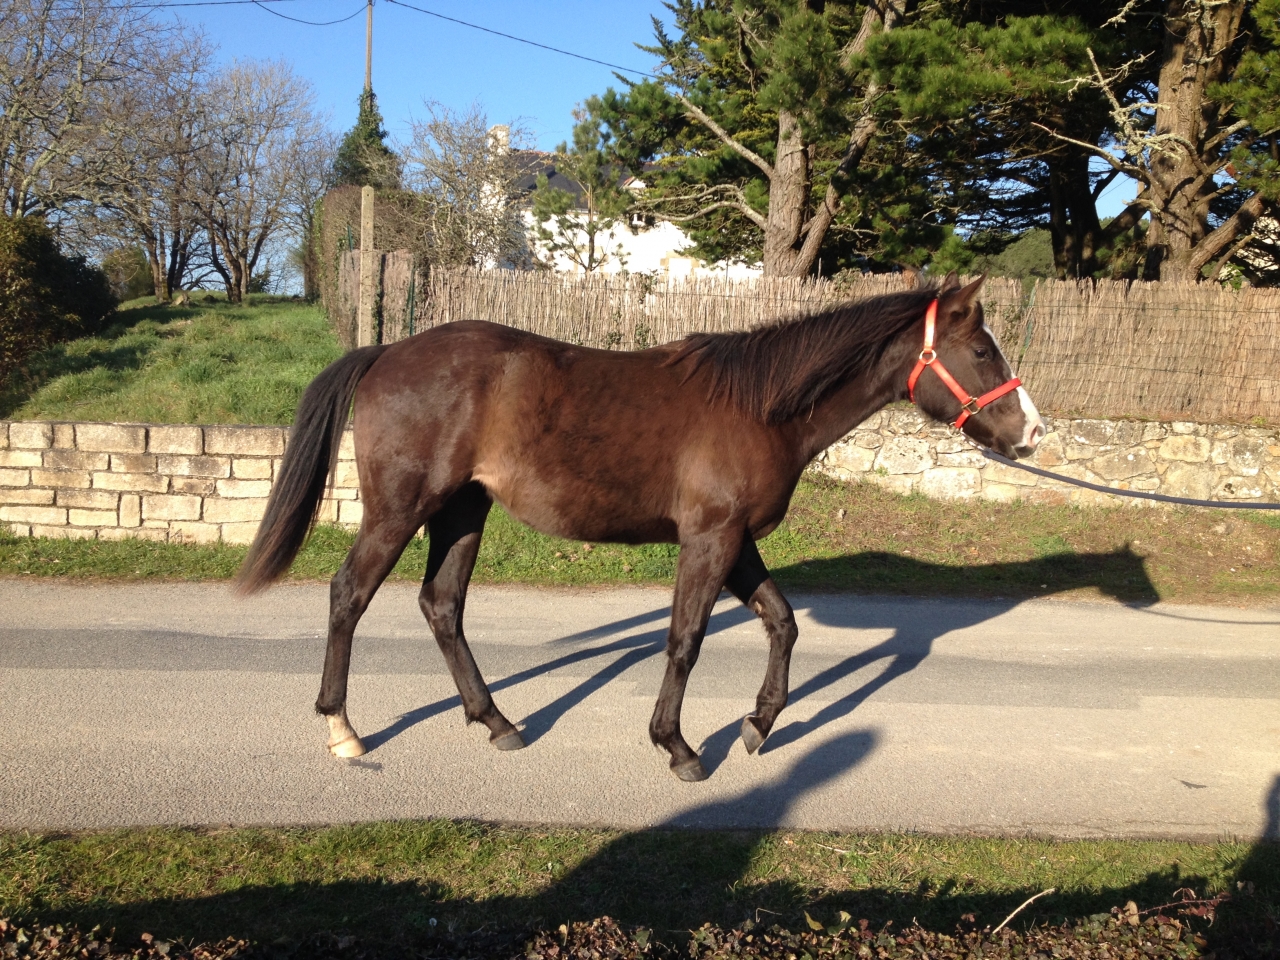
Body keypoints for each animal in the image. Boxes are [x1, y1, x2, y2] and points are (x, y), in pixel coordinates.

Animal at [235, 272, 1045, 781]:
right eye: (981, 351)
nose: (1032, 432)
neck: (759, 406)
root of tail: (386, 353)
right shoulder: (709, 540)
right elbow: (684, 642)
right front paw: (678, 747)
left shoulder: (736, 542)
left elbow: (782, 623)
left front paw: (758, 725)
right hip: (402, 510)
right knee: (349, 594)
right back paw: (343, 730)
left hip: (463, 511)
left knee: (441, 606)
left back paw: (496, 721)